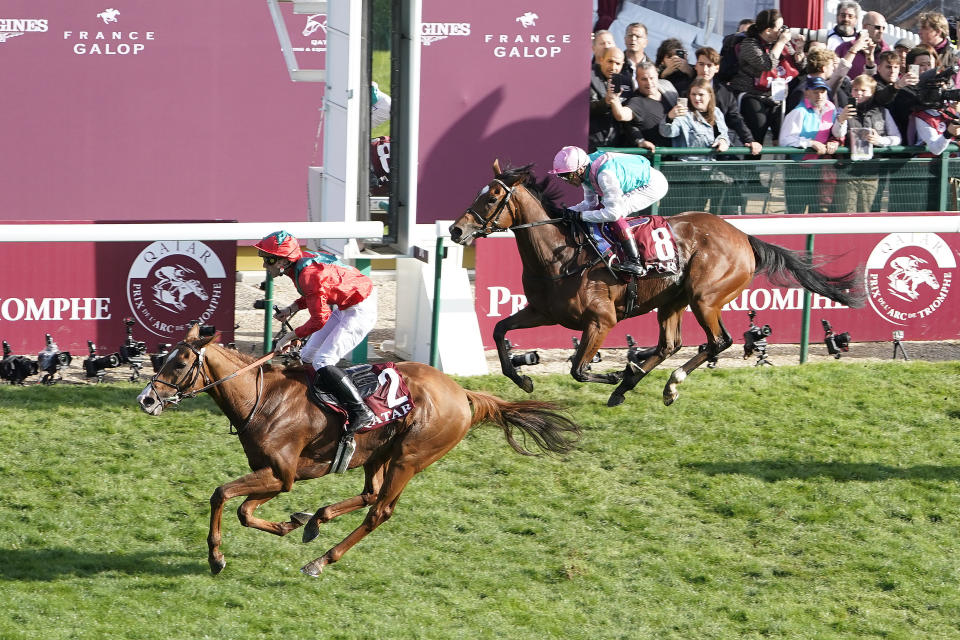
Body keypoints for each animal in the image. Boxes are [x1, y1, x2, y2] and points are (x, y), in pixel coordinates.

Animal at [135, 322, 576, 576]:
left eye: (179, 364)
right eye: (163, 358)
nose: (146, 400)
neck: (263, 399)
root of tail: (462, 393)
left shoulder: (280, 475)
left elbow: (222, 494)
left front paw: (216, 558)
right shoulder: (276, 475)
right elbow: (244, 510)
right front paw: (288, 524)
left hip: (409, 459)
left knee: (380, 510)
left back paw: (320, 560)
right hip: (377, 454)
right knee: (369, 493)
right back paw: (315, 519)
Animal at [448, 162, 864, 408]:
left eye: (494, 196)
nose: (456, 230)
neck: (559, 255)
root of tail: (744, 236)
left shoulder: (601, 321)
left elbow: (579, 370)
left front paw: (614, 373)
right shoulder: (542, 311)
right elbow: (500, 331)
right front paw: (523, 380)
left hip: (704, 297)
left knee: (718, 341)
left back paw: (664, 384)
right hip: (672, 301)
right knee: (669, 344)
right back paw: (629, 385)